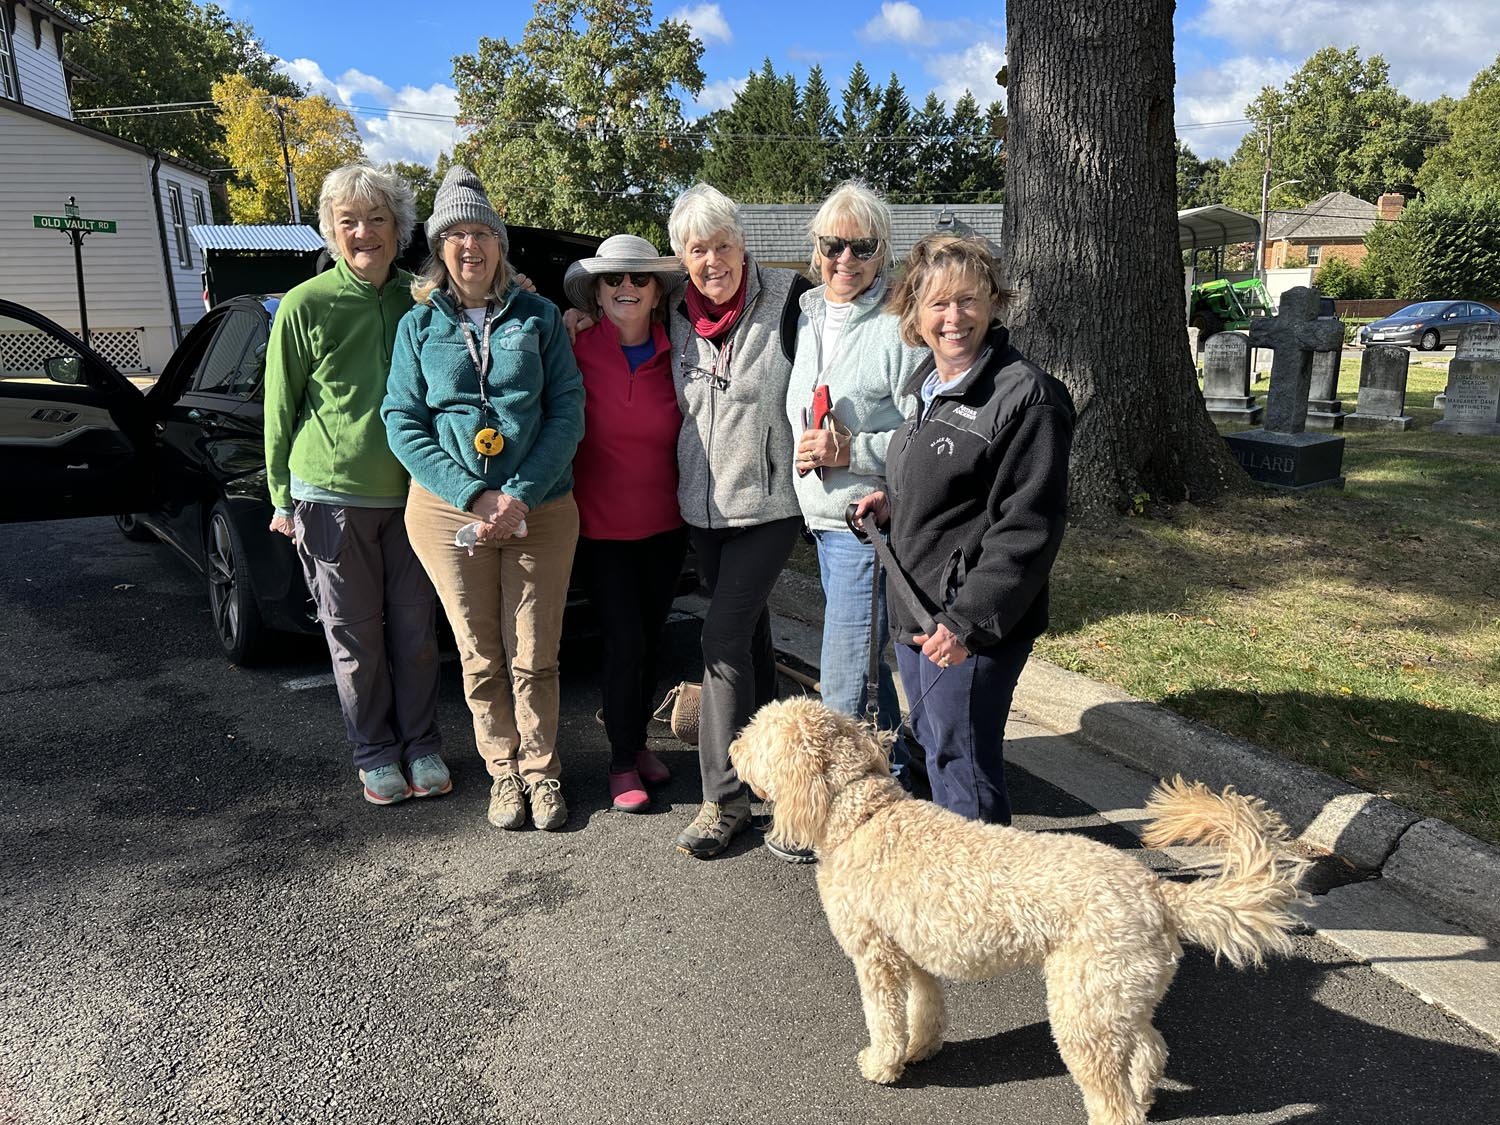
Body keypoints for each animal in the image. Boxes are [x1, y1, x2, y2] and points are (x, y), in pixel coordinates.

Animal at [729, 697, 1308, 1125]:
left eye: (757, 735)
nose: (732, 746)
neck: (864, 817)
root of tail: (1156, 891)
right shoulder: (912, 951)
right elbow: (925, 1009)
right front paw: (922, 1049)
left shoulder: (876, 957)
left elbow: (885, 1019)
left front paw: (883, 1065)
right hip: (1115, 996)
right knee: (1150, 1049)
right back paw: (1145, 1094)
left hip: (1083, 1010)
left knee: (1113, 1095)